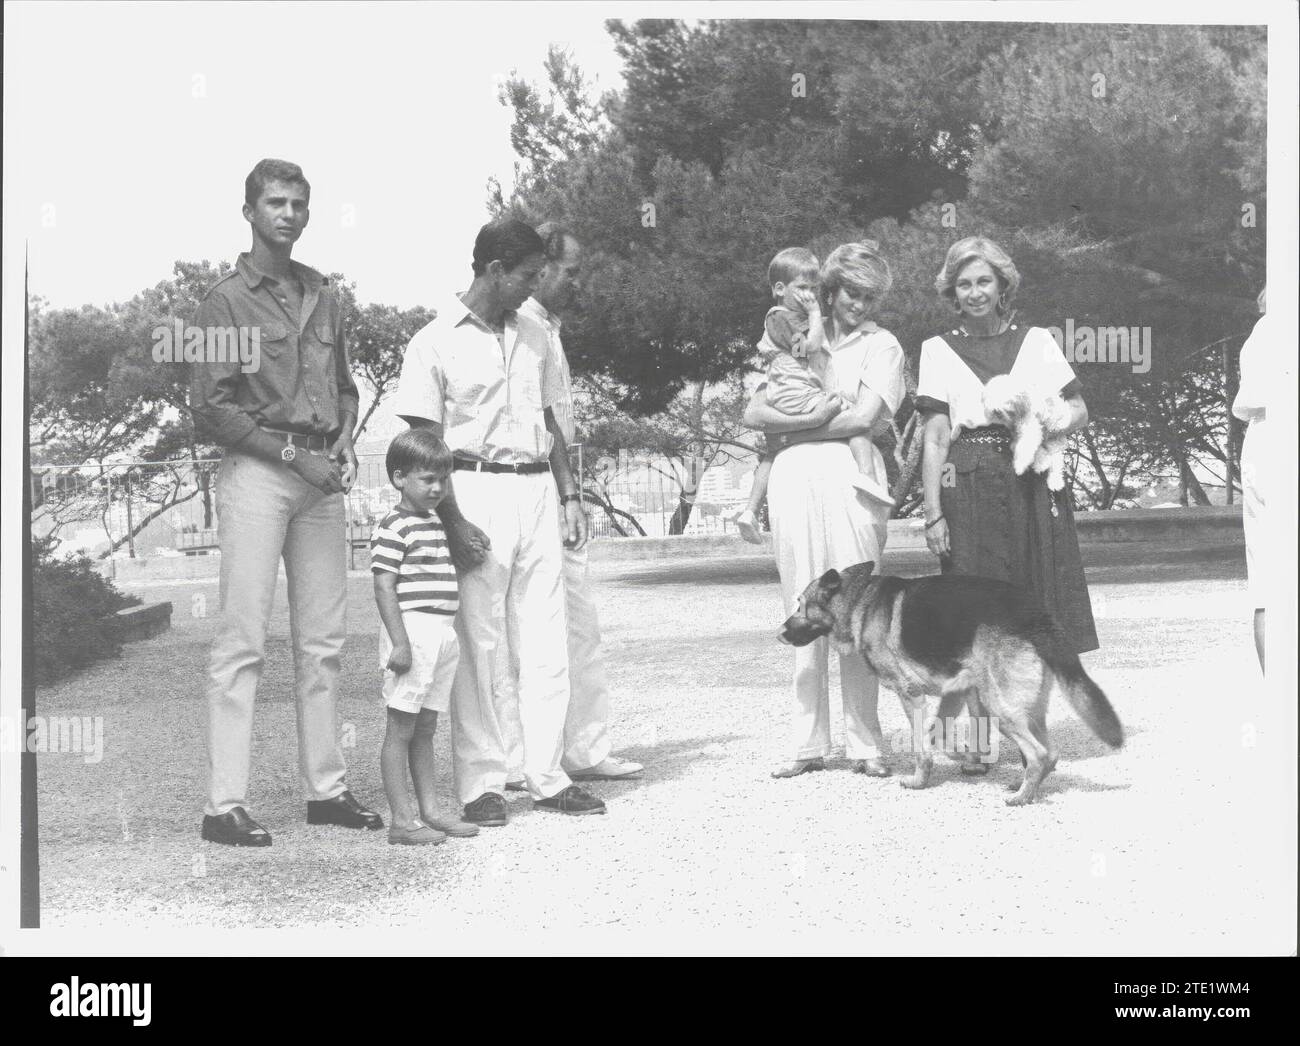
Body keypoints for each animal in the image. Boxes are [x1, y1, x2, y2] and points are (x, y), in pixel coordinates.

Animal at [774, 563, 1123, 800]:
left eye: (800, 605)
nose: (779, 634)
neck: (860, 601)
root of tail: (1037, 616)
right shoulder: (958, 690)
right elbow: (936, 733)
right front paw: (962, 757)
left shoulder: (911, 694)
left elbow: (921, 743)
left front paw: (919, 780)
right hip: (1029, 709)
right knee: (1050, 753)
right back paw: (1022, 784)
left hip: (1001, 708)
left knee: (1041, 754)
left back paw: (1021, 797)